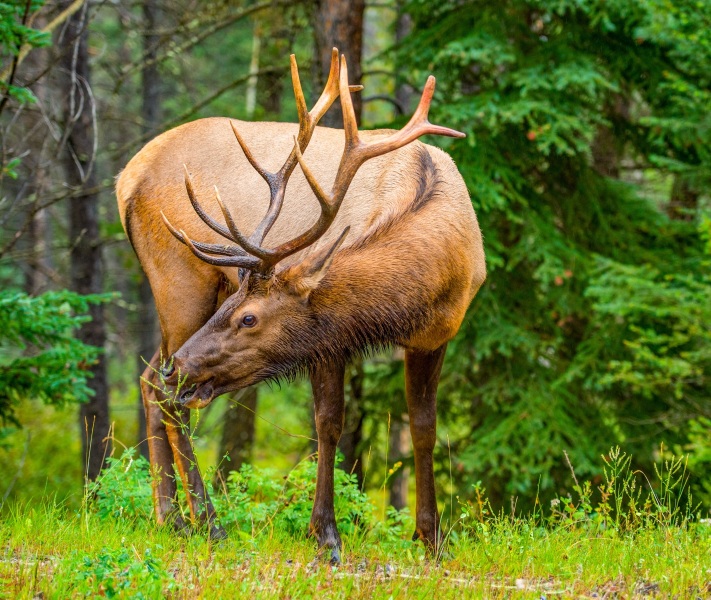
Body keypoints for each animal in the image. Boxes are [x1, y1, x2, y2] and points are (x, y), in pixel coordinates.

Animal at [117, 50, 486, 564]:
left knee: (150, 380)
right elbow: (328, 424)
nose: (185, 367)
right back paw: (205, 522)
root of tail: (124, 179)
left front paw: (431, 538)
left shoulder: (436, 335)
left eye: (248, 316)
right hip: (180, 282)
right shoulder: (329, 339)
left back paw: (171, 518)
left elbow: (424, 429)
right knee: (164, 392)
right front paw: (326, 535)